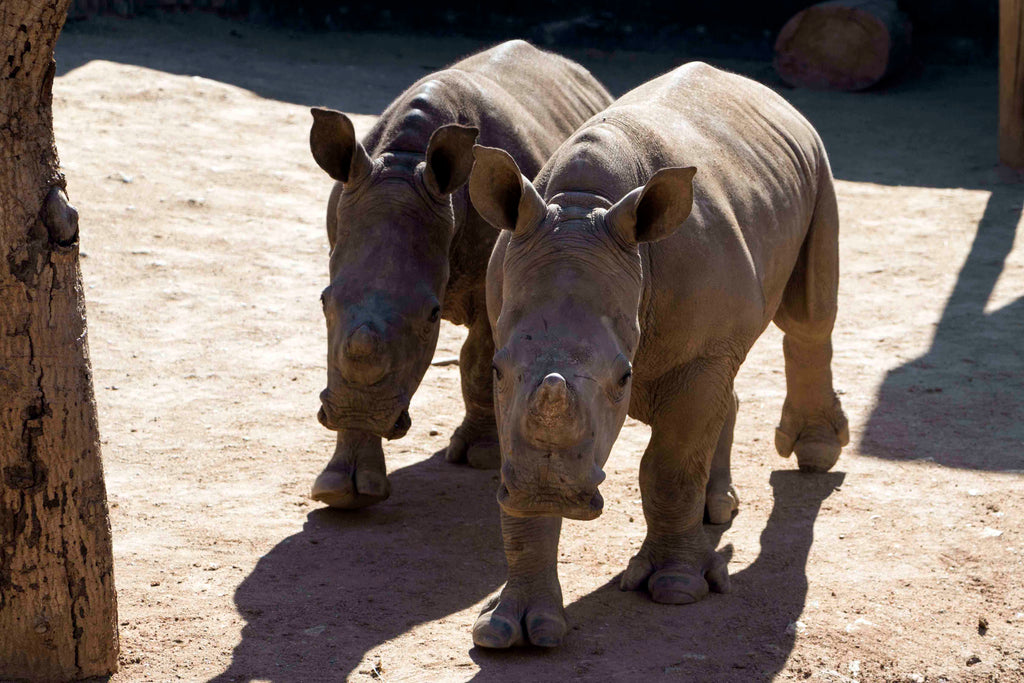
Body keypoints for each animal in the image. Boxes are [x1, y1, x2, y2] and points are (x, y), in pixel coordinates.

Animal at [308, 41, 612, 509]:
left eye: (432, 316)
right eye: (323, 301)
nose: (358, 411)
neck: (406, 160)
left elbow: (479, 360)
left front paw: (481, 457)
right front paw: (342, 492)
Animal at [466, 62, 850, 648]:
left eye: (623, 378)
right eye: (496, 369)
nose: (549, 491)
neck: (585, 209)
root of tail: (763, 91)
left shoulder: (695, 357)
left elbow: (669, 467)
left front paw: (676, 588)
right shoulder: (505, 327)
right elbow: (518, 464)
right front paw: (511, 626)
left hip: (819, 163)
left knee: (808, 316)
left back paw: (815, 455)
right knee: (730, 378)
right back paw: (717, 511)